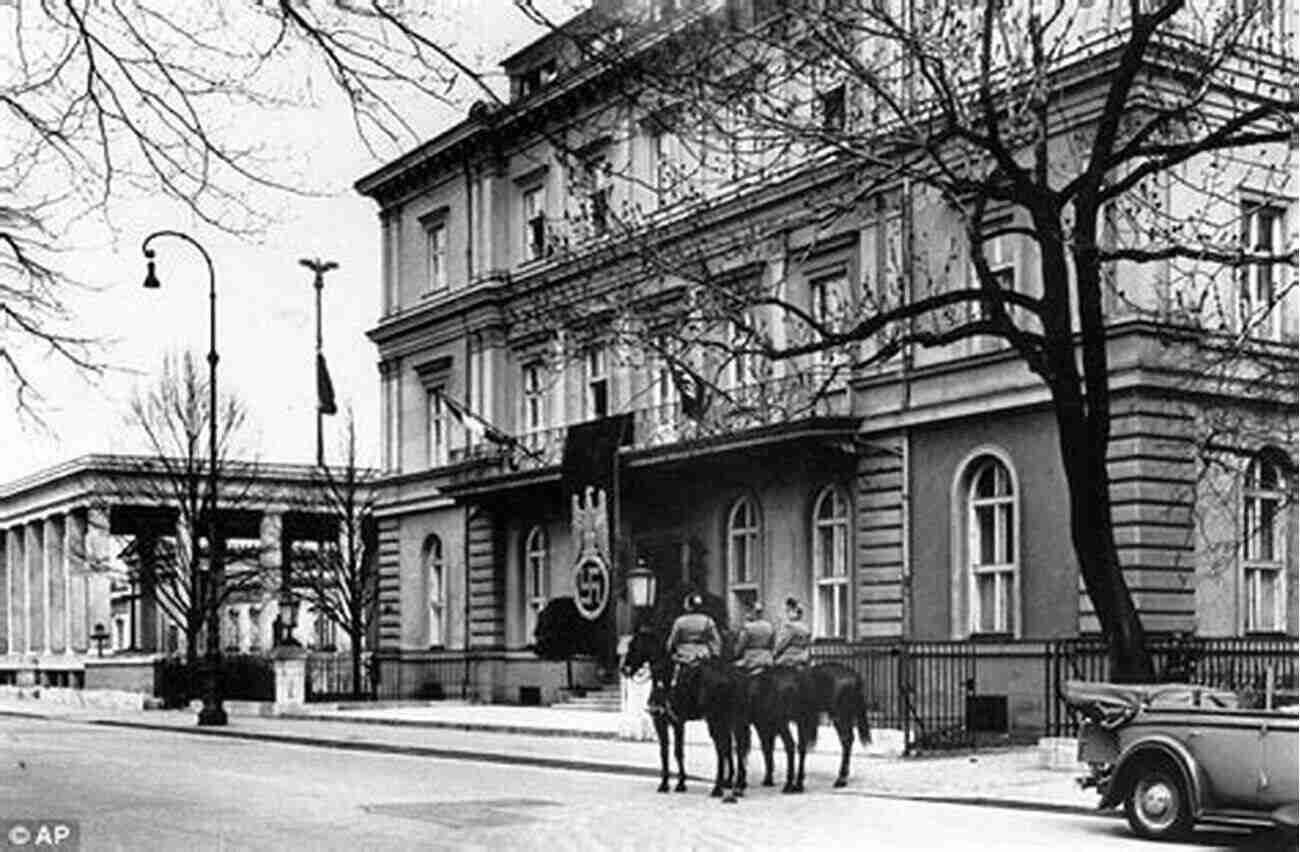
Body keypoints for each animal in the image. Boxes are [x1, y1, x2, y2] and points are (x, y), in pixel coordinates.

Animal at [621, 626, 748, 801]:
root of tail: (731, 673)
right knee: (735, 748)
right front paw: (672, 784)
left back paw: (718, 788)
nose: (624, 669)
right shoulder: (670, 722)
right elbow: (671, 752)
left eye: (633, 646)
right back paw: (735, 785)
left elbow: (672, 752)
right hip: (730, 720)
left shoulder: (668, 722)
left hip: (715, 720)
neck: (665, 678)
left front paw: (672, 784)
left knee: (722, 749)